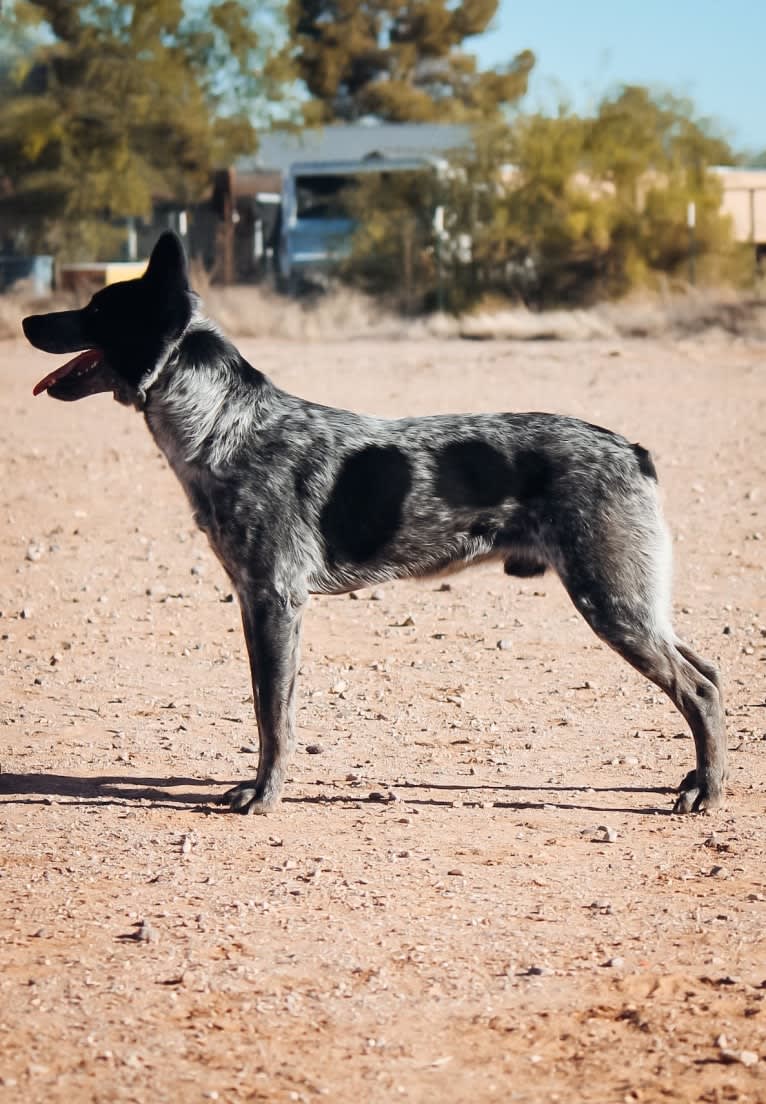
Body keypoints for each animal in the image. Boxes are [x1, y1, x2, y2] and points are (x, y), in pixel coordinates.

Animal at [22, 232, 724, 816]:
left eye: (96, 309)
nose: (28, 320)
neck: (225, 422)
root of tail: (632, 450)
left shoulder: (275, 601)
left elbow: (273, 715)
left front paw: (266, 796)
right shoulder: (257, 605)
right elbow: (269, 707)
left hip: (613, 603)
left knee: (699, 690)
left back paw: (708, 793)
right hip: (635, 604)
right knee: (710, 676)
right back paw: (698, 778)